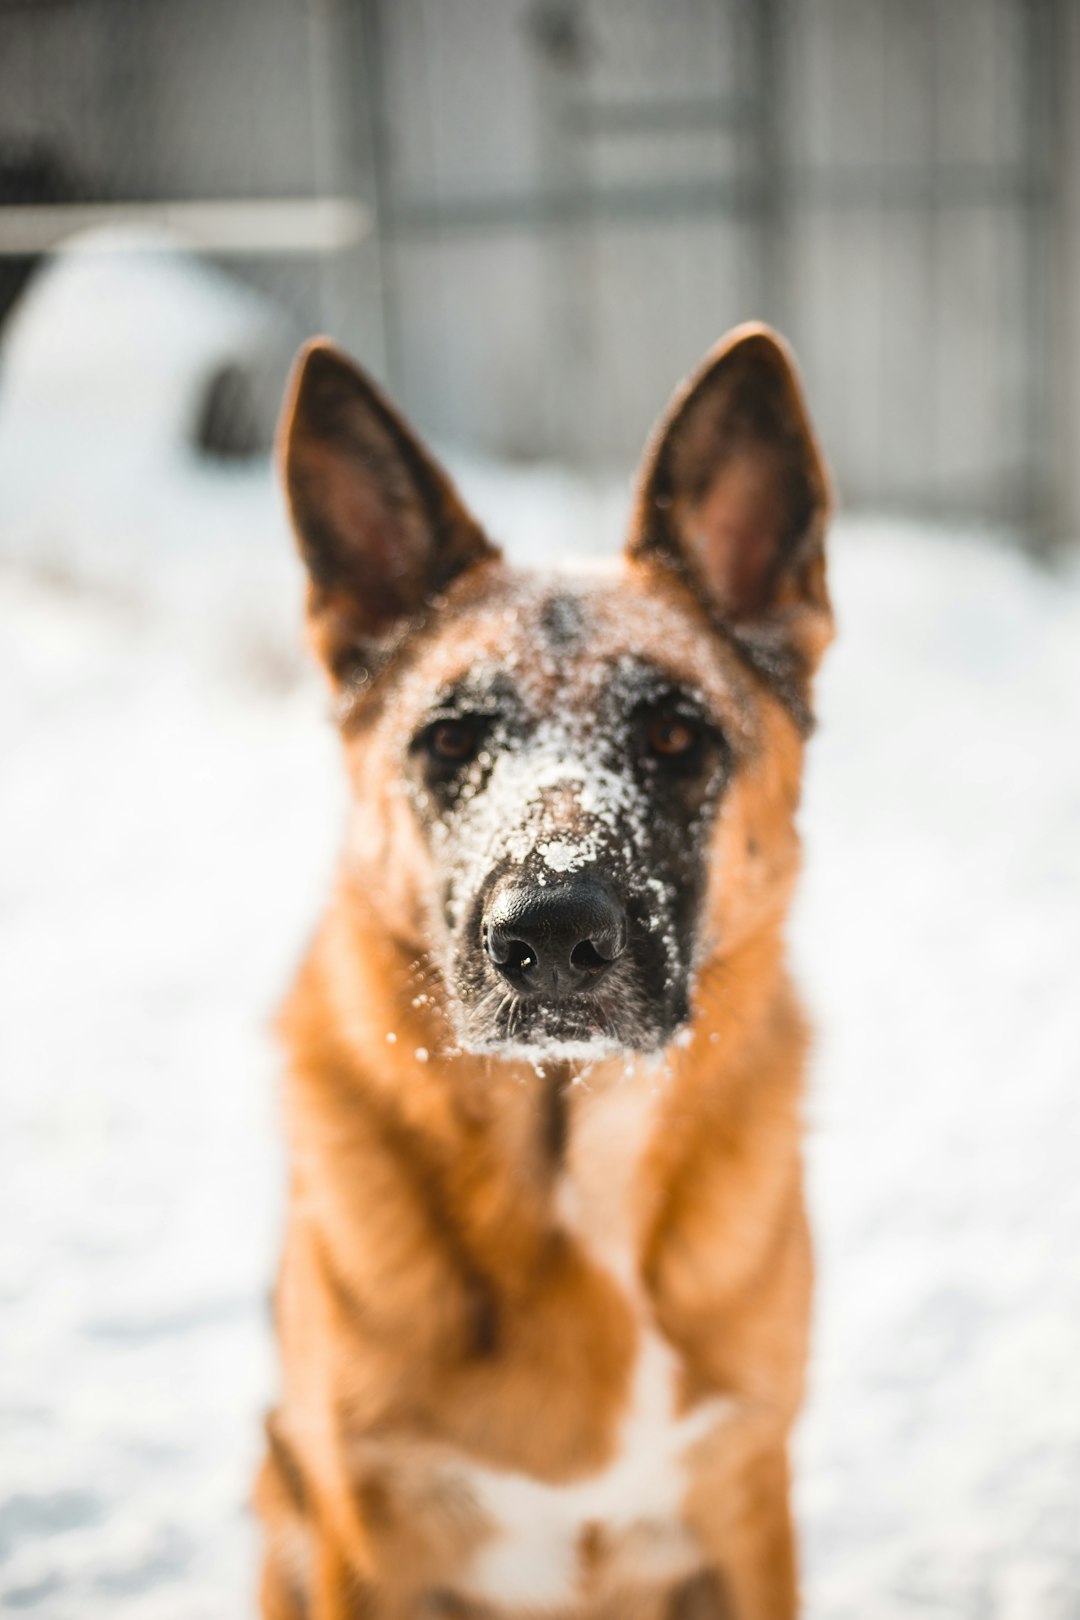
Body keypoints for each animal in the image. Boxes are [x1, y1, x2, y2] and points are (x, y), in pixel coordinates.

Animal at [257, 319, 835, 1620]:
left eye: (674, 735)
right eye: (451, 740)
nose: (555, 936)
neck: (572, 1175)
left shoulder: (748, 1510)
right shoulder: (368, 1539)